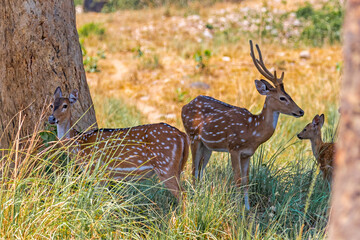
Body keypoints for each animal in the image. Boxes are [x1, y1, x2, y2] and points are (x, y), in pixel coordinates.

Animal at [48, 86, 190, 199]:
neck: (79, 144)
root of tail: (182, 135)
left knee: (182, 194)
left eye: (65, 105)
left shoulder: (98, 170)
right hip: (175, 167)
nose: (51, 118)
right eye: (51, 105)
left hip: (166, 166)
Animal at [183, 40, 304, 209]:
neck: (253, 130)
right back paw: (194, 197)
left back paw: (200, 195)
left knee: (200, 169)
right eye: (282, 98)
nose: (301, 111)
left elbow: (247, 181)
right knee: (193, 168)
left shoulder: (247, 153)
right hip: (192, 135)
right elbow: (237, 180)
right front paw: (236, 208)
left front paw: (247, 208)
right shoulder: (234, 147)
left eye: (290, 95)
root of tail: (184, 106)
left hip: (207, 146)